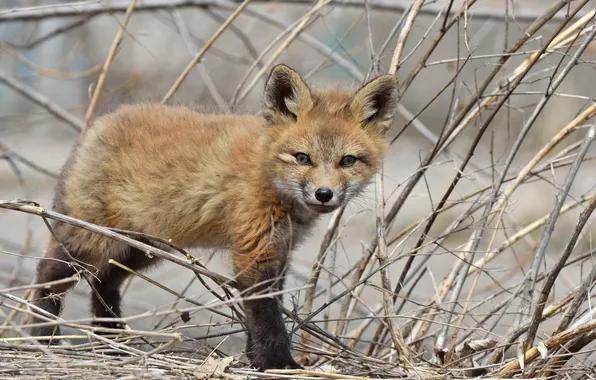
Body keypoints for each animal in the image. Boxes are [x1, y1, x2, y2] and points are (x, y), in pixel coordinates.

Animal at [29, 63, 400, 370]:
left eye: (347, 161)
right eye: (302, 158)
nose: (324, 194)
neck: (266, 172)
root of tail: (101, 123)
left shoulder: (279, 250)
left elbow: (256, 315)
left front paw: (254, 359)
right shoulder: (254, 251)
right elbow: (267, 316)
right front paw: (278, 364)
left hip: (140, 249)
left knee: (104, 283)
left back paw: (113, 345)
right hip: (91, 240)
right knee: (48, 274)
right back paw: (42, 339)